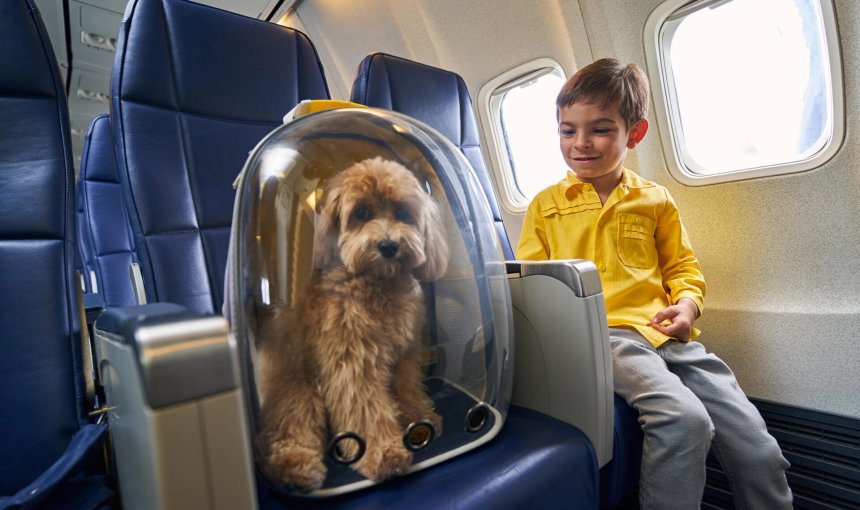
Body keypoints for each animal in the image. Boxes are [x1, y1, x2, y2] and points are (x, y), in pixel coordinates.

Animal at [256, 155, 450, 490]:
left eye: (403, 212)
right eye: (361, 213)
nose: (388, 246)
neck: (377, 283)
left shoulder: (404, 355)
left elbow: (408, 389)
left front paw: (418, 420)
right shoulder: (353, 363)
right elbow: (366, 410)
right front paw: (384, 453)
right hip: (299, 388)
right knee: (291, 429)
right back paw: (295, 467)